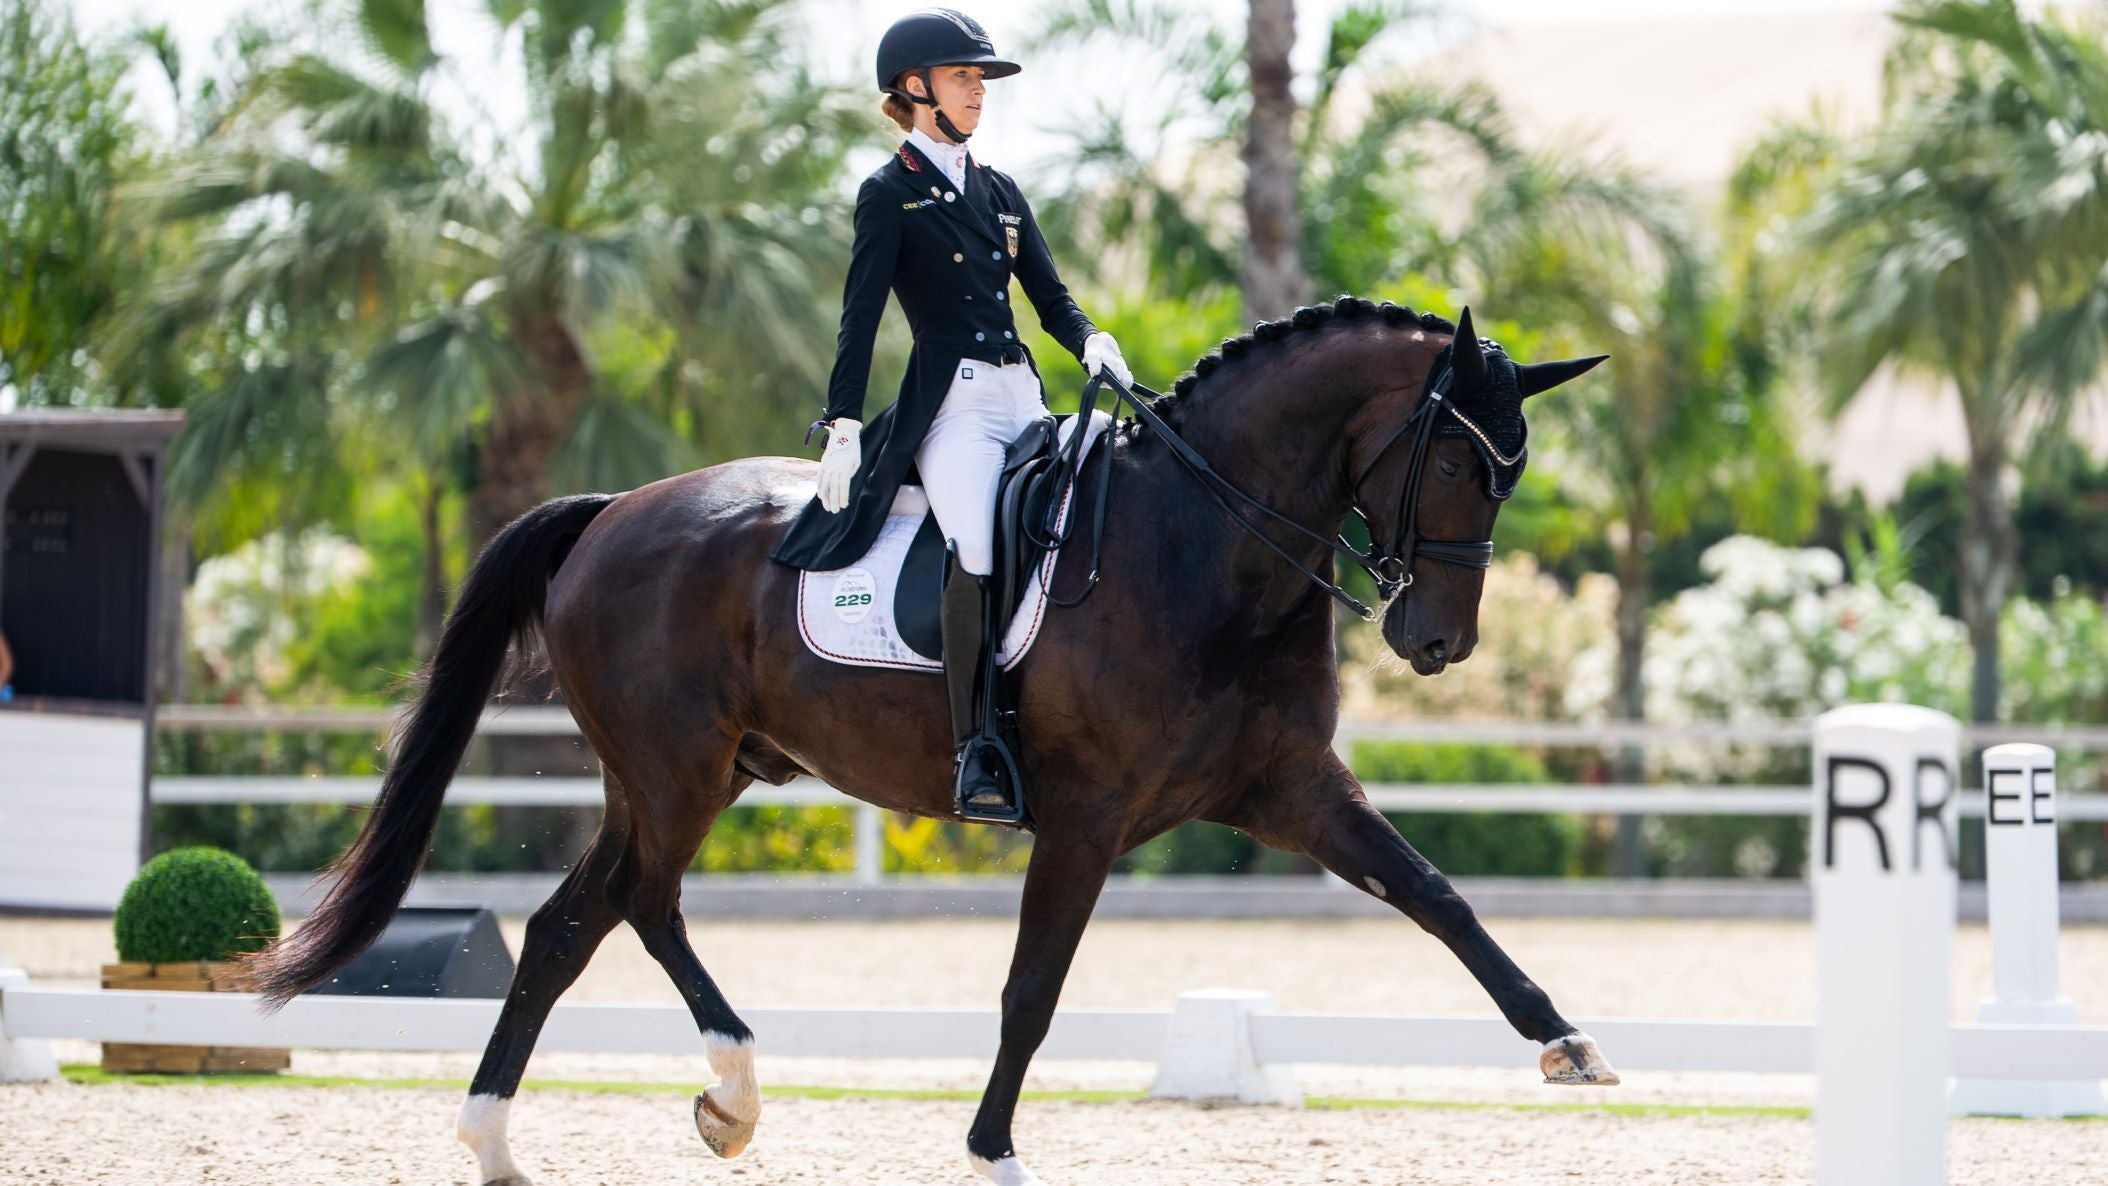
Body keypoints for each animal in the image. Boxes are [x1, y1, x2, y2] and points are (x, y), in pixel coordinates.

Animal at [250, 297, 1627, 1186]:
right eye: (1456, 460)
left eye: (1510, 473)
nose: (1436, 641)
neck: (1202, 544)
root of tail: (609, 512)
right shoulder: (1085, 815)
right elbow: (1031, 988)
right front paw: (992, 1151)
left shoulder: (1284, 787)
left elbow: (1434, 894)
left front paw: (1564, 1041)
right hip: (675, 771)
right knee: (638, 900)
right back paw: (729, 1088)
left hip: (692, 773)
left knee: (565, 924)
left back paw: (508, 1138)